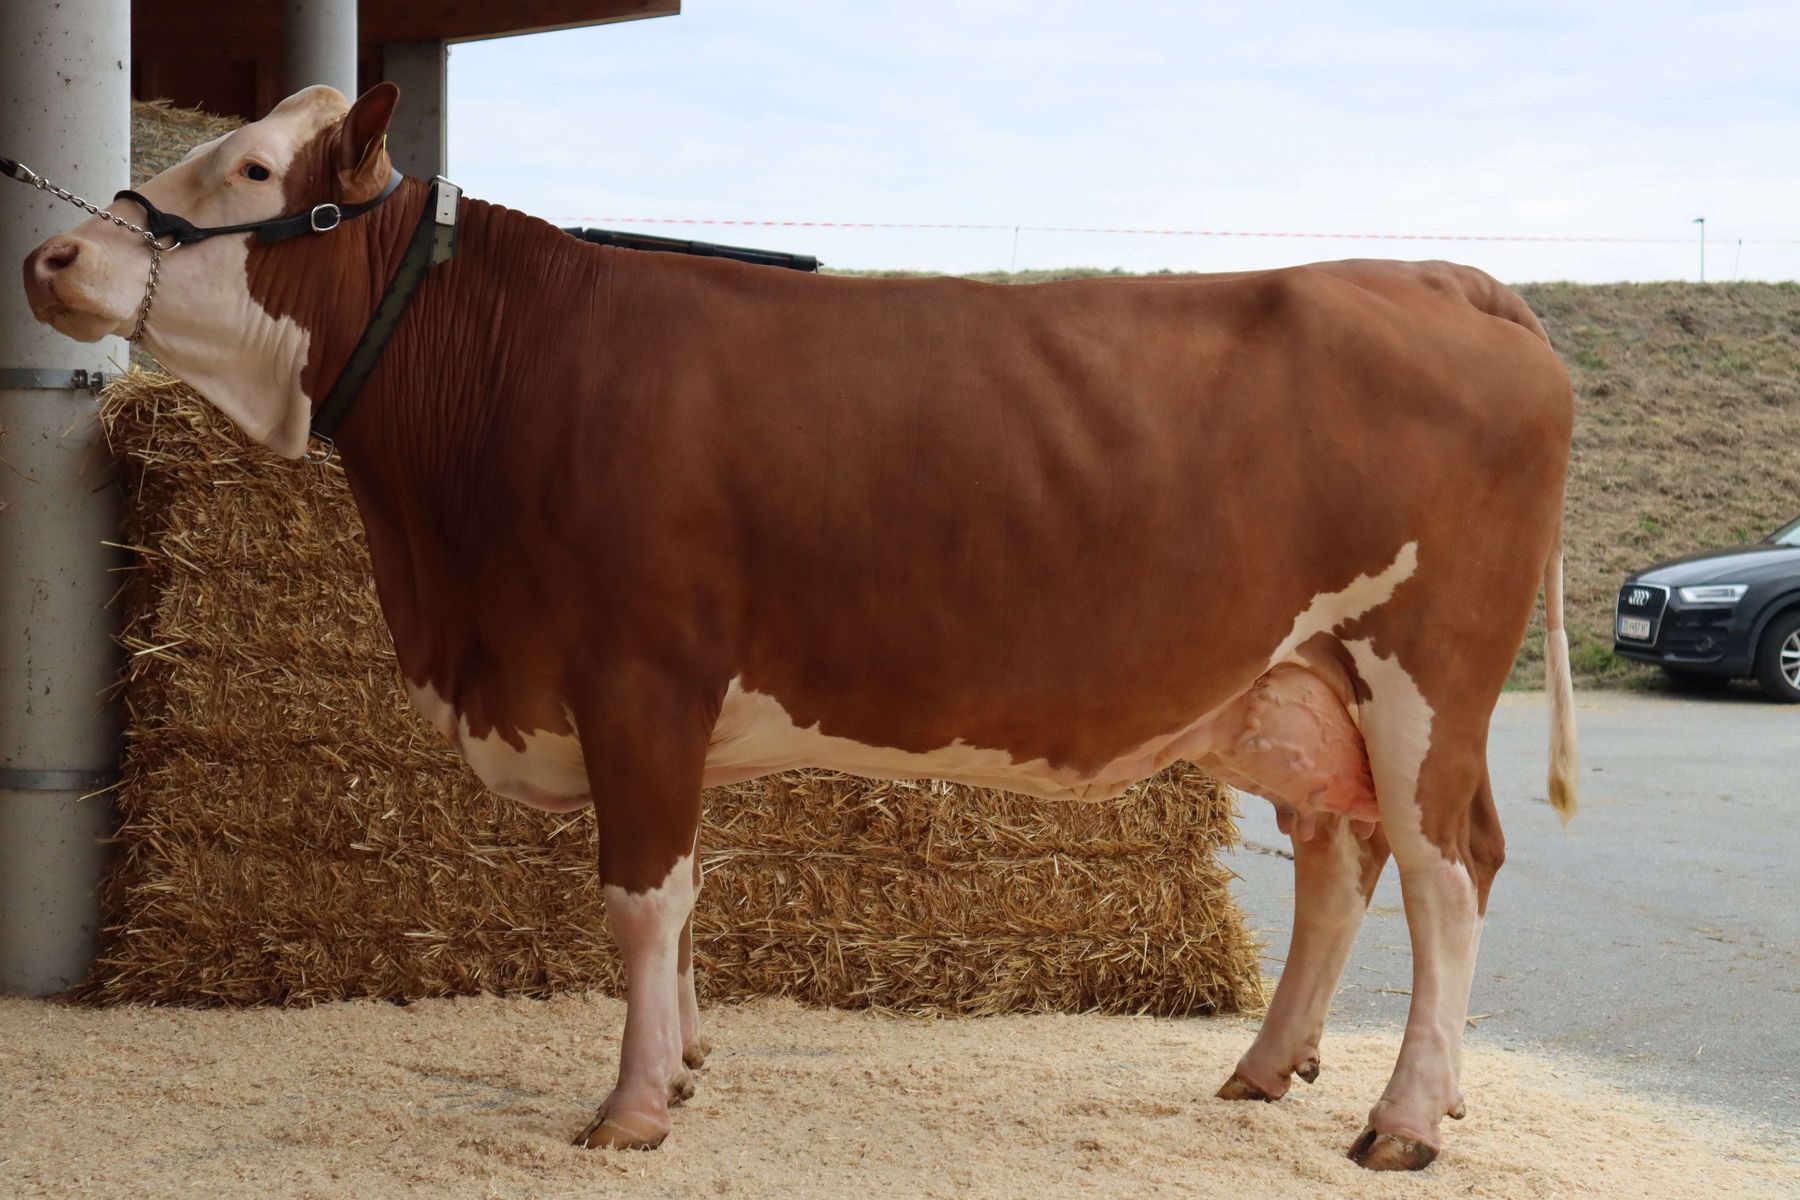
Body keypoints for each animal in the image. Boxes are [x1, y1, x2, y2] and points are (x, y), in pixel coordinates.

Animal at [24, 86, 1576, 1173]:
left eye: (250, 171)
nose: (50, 255)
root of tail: (1440, 277)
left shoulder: (637, 677)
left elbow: (640, 898)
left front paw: (633, 1108)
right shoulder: (657, 709)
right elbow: (688, 899)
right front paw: (685, 1065)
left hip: (1426, 678)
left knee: (1449, 873)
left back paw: (1405, 1120)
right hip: (1304, 686)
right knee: (1341, 858)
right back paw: (1272, 1068)